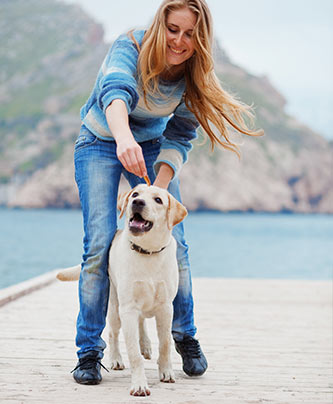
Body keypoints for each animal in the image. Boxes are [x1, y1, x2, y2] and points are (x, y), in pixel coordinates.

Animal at [56, 185, 187, 396]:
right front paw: (139, 384)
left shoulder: (166, 307)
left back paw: (146, 345)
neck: (147, 251)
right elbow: (133, 353)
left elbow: (166, 343)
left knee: (142, 322)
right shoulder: (128, 309)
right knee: (113, 333)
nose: (137, 202)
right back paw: (116, 358)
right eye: (135, 194)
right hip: (115, 307)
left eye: (158, 200)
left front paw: (166, 371)